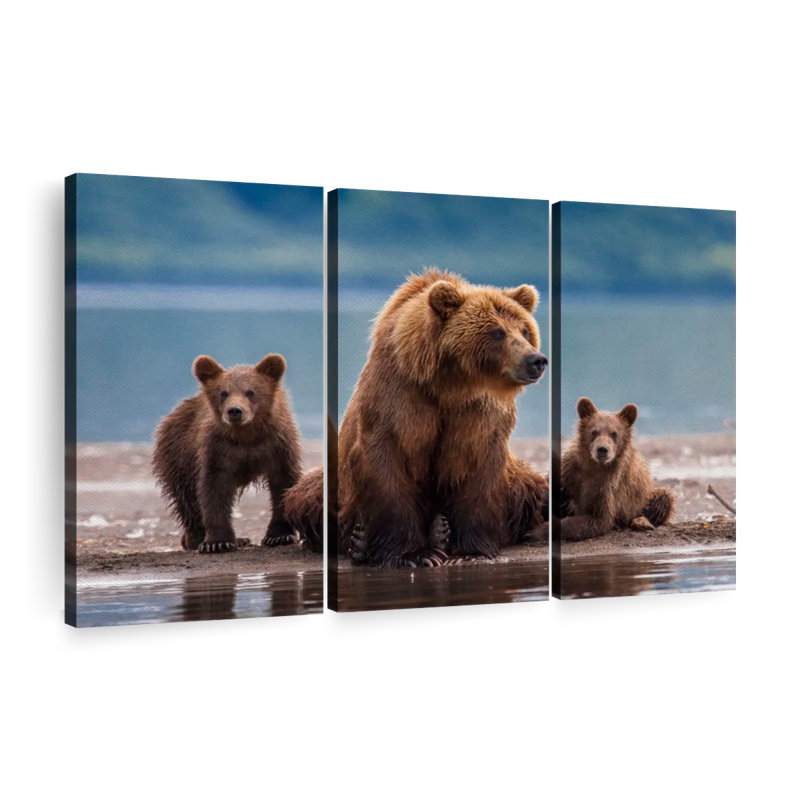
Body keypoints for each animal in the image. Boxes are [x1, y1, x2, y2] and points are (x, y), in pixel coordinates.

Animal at [152, 354, 302, 554]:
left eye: (250, 392)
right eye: (223, 393)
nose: (235, 411)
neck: (247, 436)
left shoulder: (278, 445)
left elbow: (283, 483)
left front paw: (279, 535)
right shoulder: (218, 450)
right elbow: (214, 490)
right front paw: (217, 542)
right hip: (178, 457)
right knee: (188, 500)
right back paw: (197, 538)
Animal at [338, 268, 549, 568]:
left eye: (525, 330)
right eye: (497, 332)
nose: (536, 360)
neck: (450, 383)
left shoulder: (478, 414)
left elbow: (479, 470)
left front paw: (468, 552)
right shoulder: (398, 397)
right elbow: (387, 464)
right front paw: (413, 555)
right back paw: (360, 541)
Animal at [557, 397, 674, 541]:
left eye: (614, 434)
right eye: (594, 432)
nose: (602, 449)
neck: (593, 466)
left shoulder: (608, 486)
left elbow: (598, 519)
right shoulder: (569, 472)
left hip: (645, 497)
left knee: (664, 497)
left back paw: (640, 522)